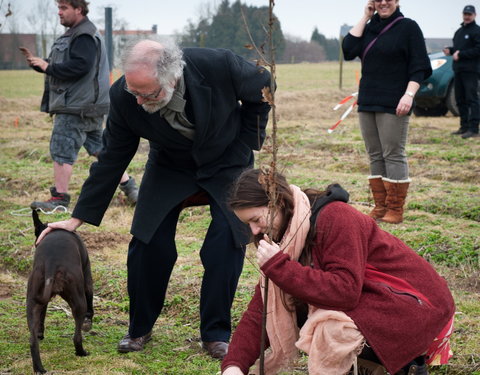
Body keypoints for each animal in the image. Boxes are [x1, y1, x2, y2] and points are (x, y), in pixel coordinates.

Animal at [27, 210, 94, 374]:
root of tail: (51, 263)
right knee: (76, 336)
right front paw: (89, 320)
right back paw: (81, 352)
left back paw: (39, 368)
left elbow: (42, 317)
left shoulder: (42, 301)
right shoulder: (87, 279)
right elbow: (91, 300)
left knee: (32, 341)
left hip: (32, 301)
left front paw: (40, 333)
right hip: (78, 300)